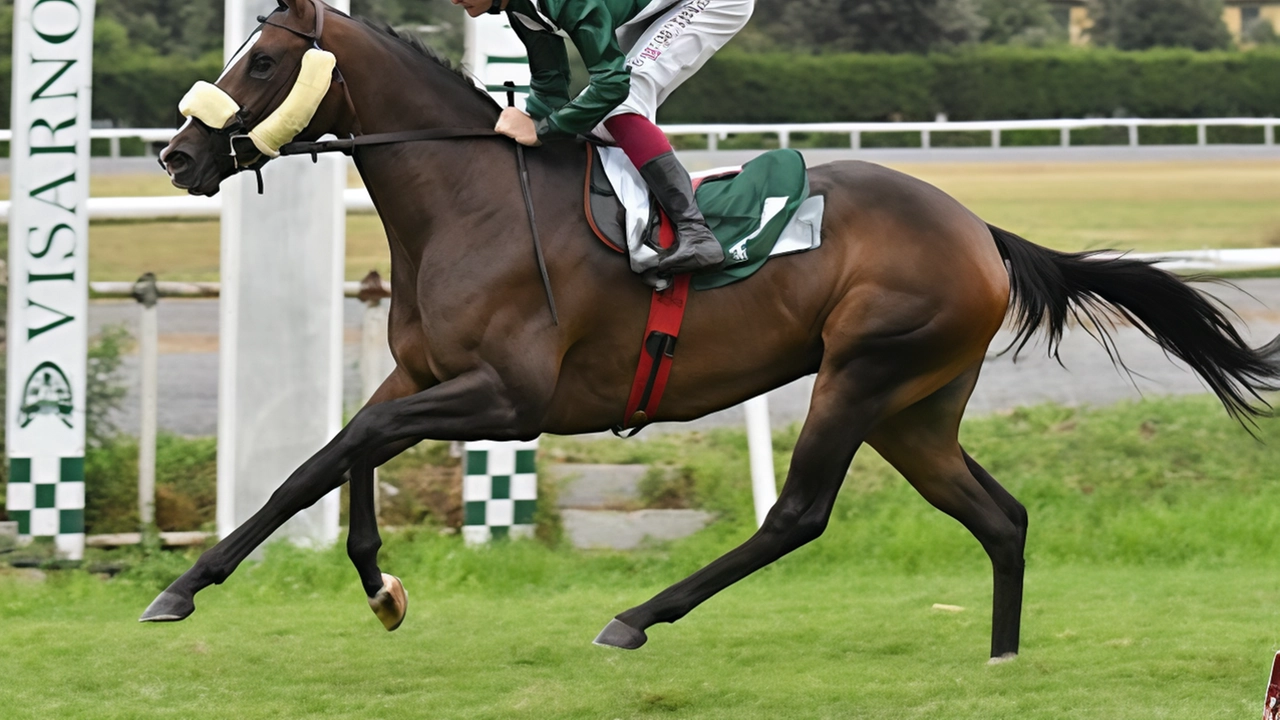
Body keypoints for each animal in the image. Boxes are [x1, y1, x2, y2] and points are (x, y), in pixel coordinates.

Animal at [145, 0, 1274, 661]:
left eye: (261, 61)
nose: (175, 155)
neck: (472, 198)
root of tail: (977, 229)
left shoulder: (509, 399)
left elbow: (344, 449)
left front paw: (198, 588)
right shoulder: (423, 378)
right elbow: (333, 459)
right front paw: (366, 588)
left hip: (860, 375)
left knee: (798, 516)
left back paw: (637, 617)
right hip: (915, 409)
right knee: (1000, 518)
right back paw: (1000, 657)